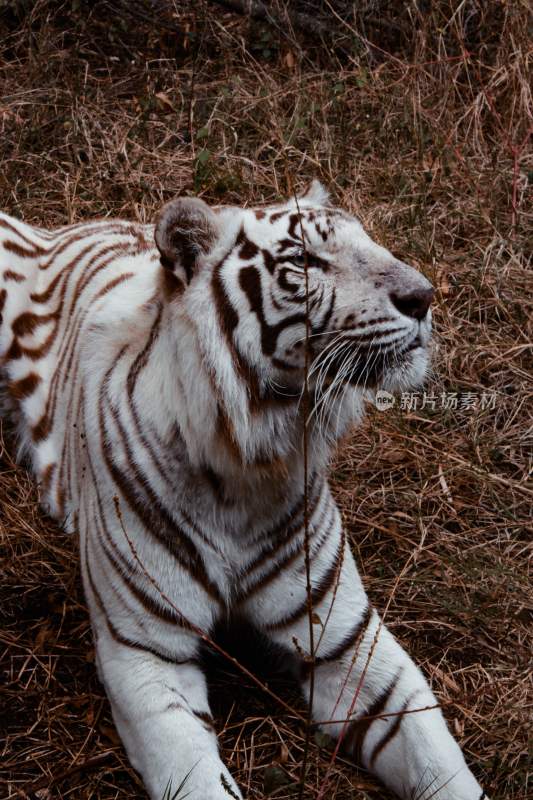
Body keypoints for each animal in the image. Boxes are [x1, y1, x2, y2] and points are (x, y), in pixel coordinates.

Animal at [0, 183, 486, 800]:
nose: (423, 296)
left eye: (371, 240)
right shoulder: (147, 658)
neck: (250, 461)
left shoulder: (347, 641)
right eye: (304, 260)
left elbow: (439, 762)